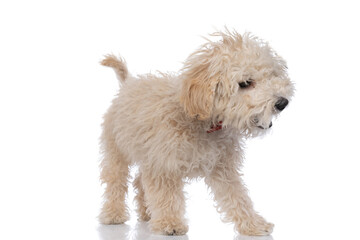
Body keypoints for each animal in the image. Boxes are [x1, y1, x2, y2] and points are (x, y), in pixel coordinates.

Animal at [99, 28, 296, 236]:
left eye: (272, 74)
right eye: (245, 83)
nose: (282, 102)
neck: (203, 123)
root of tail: (127, 84)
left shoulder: (222, 167)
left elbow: (237, 196)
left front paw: (253, 224)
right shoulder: (163, 166)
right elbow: (166, 195)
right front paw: (170, 223)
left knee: (139, 181)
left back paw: (146, 214)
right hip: (117, 151)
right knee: (116, 182)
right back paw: (113, 214)